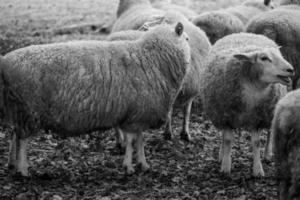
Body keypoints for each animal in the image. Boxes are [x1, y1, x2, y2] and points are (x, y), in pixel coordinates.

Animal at [1, 21, 190, 176]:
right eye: (187, 38)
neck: (151, 58)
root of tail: (6, 62)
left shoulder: (137, 115)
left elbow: (140, 140)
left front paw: (143, 164)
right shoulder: (134, 116)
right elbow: (131, 141)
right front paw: (129, 167)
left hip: (18, 108)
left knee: (15, 135)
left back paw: (13, 164)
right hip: (27, 110)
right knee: (23, 140)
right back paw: (23, 169)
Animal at [200, 32, 294, 177]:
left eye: (279, 56)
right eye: (264, 58)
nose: (291, 69)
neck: (254, 88)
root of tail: (245, 33)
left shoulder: (258, 119)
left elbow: (256, 143)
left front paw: (258, 169)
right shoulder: (225, 116)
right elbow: (228, 140)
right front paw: (226, 165)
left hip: (271, 111)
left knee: (270, 133)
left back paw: (267, 155)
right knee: (223, 136)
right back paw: (221, 154)